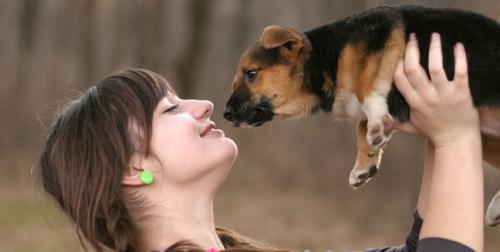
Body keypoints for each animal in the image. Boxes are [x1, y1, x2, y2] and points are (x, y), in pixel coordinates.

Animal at [224, 4, 500, 226]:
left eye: (251, 74)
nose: (226, 113)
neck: (325, 60)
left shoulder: (377, 46)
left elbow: (367, 87)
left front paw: (376, 128)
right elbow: (361, 127)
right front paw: (365, 163)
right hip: (484, 137)